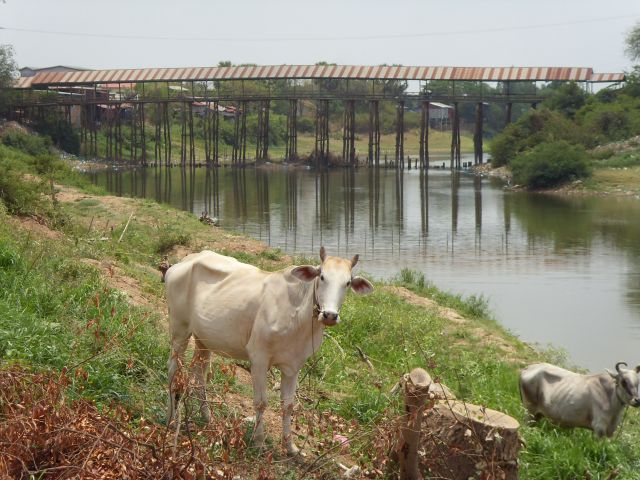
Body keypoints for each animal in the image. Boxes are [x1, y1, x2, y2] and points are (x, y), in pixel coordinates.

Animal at [165, 248, 372, 454]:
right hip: (180, 329)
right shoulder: (258, 358)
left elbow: (288, 405)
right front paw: (259, 441)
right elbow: (261, 402)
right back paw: (171, 418)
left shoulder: (294, 365)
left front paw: (290, 446)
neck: (298, 315)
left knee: (199, 374)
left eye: (347, 283)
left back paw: (207, 418)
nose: (329, 315)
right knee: (173, 369)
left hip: (204, 339)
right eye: (322, 276)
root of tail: (186, 260)